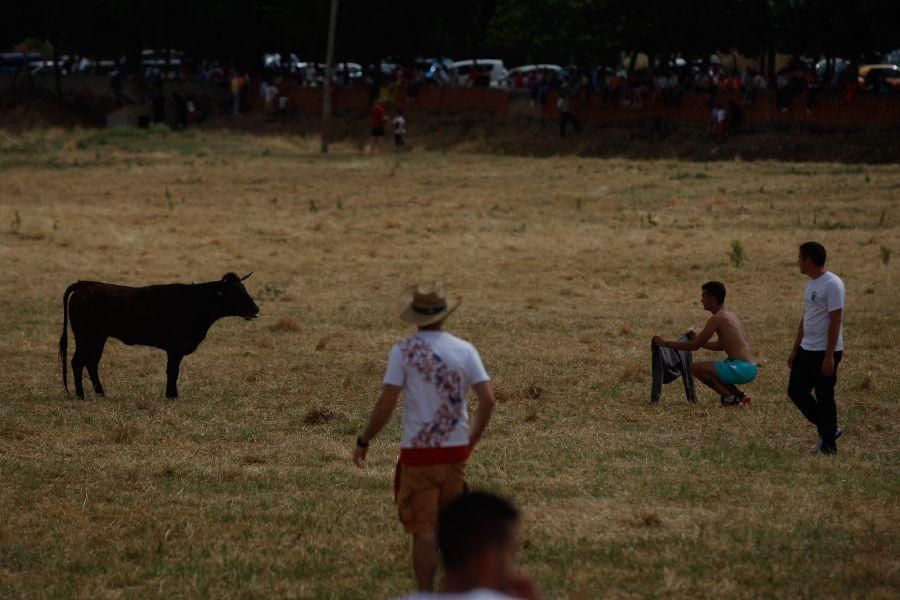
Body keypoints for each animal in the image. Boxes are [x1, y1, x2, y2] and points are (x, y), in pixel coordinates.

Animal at [59, 272, 260, 398]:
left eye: (244, 289)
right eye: (235, 293)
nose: (256, 309)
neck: (195, 303)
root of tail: (84, 284)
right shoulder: (175, 348)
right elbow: (172, 371)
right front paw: (172, 396)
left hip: (98, 338)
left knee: (91, 363)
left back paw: (101, 394)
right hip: (85, 336)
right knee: (78, 362)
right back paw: (81, 396)